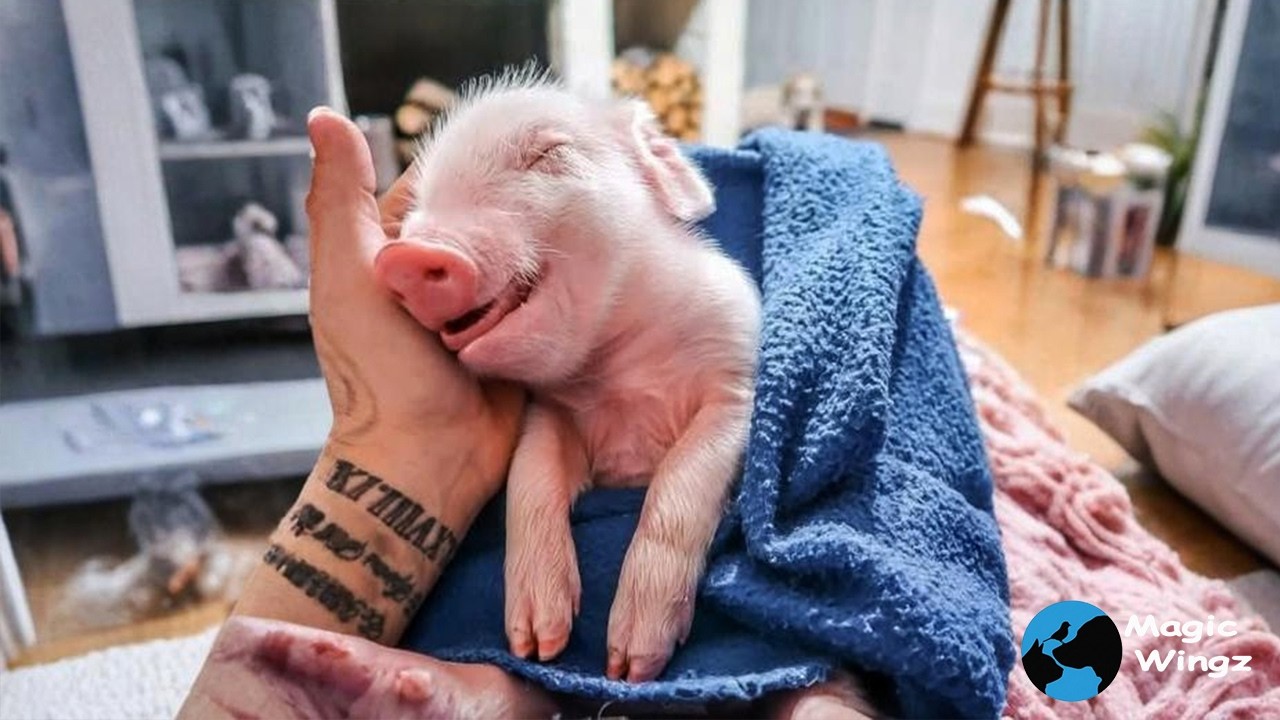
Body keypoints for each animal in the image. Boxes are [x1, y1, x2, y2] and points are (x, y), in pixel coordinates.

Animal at [373, 74, 762, 683]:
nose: (405, 255)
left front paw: (630, 667)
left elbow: (681, 477)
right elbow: (530, 478)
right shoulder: (549, 412)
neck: (618, 364)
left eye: (547, 153)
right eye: (418, 201)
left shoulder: (736, 384)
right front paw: (537, 644)